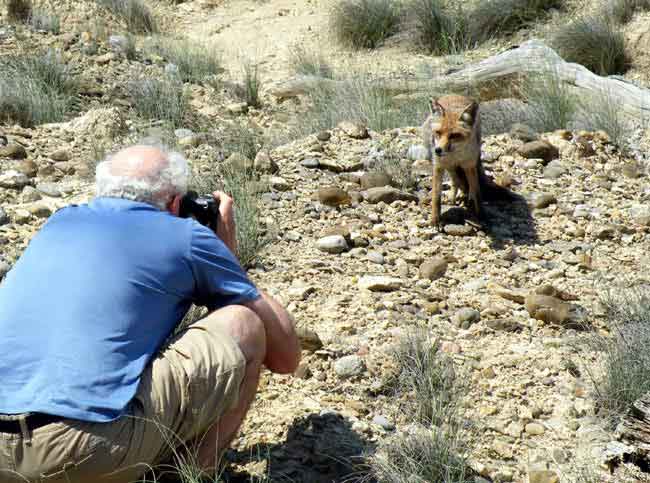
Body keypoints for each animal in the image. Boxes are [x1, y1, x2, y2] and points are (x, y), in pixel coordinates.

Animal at [420, 95, 506, 231]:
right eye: (438, 132)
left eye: (454, 135)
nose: (437, 150)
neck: (456, 155)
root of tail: (453, 95)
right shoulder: (438, 166)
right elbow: (436, 197)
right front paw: (435, 220)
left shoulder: (469, 165)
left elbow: (477, 192)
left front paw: (481, 215)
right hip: (448, 166)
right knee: (455, 181)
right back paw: (453, 197)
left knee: (465, 184)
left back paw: (465, 197)